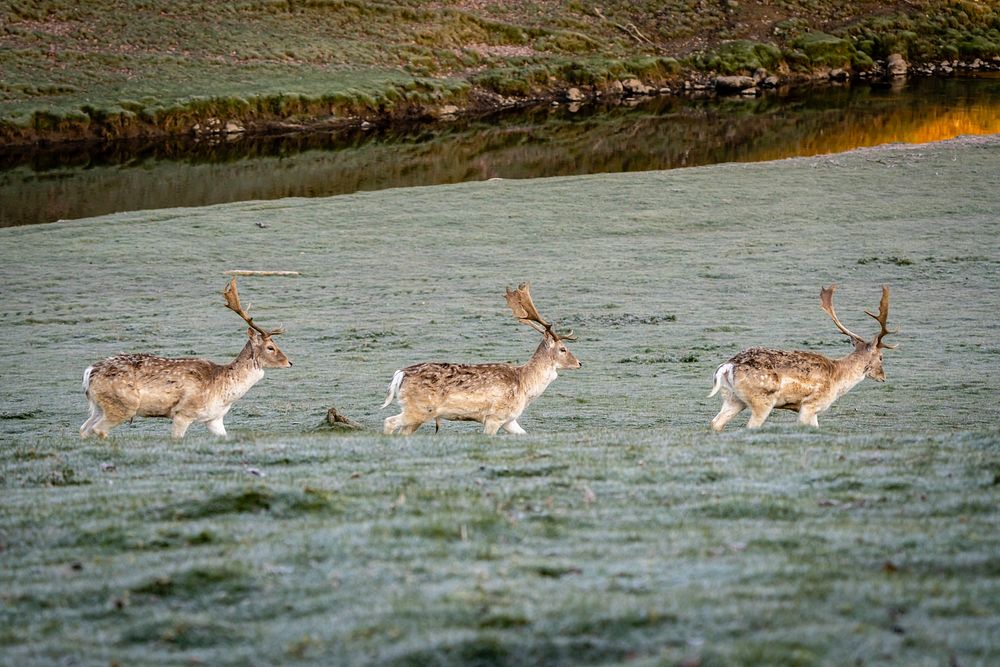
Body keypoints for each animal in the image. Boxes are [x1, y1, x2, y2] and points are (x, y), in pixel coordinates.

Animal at [80, 280, 292, 440]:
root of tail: (89, 373)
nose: (290, 362)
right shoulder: (183, 413)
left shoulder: (214, 419)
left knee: (84, 429)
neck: (223, 391)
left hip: (99, 406)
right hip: (123, 405)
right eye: (270, 347)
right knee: (98, 429)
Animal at [384, 284, 584, 436]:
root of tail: (399, 374)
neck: (525, 386)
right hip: (419, 409)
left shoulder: (510, 420)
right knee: (388, 422)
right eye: (563, 349)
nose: (579, 363)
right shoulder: (495, 416)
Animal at [708, 284, 904, 430]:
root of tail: (727, 366)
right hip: (762, 399)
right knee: (750, 426)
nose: (883, 377)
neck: (838, 379)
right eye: (881, 357)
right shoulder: (810, 405)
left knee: (716, 423)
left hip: (732, 398)